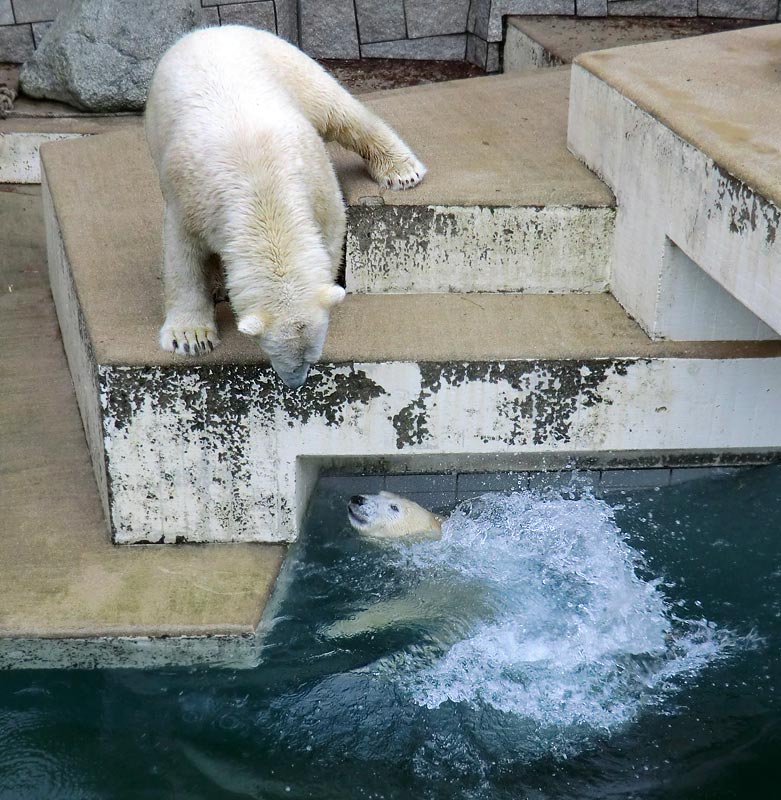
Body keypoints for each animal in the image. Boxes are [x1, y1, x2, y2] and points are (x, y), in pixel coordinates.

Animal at [146, 25, 426, 388]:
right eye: (273, 351)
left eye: (311, 355)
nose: (296, 383)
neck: (261, 191)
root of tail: (213, 29)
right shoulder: (189, 199)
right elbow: (184, 255)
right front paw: (191, 338)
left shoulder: (315, 179)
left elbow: (331, 228)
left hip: (287, 64)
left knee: (337, 110)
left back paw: (402, 170)